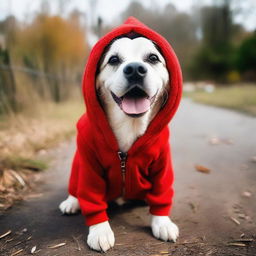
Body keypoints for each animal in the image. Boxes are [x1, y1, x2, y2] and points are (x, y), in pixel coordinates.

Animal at [59, 17, 182, 252]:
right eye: (114, 59)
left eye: (153, 58)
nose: (134, 69)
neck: (129, 123)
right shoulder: (88, 165)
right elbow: (91, 198)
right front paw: (99, 229)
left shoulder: (162, 164)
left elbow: (162, 193)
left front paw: (162, 221)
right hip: (77, 166)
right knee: (75, 188)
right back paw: (72, 201)